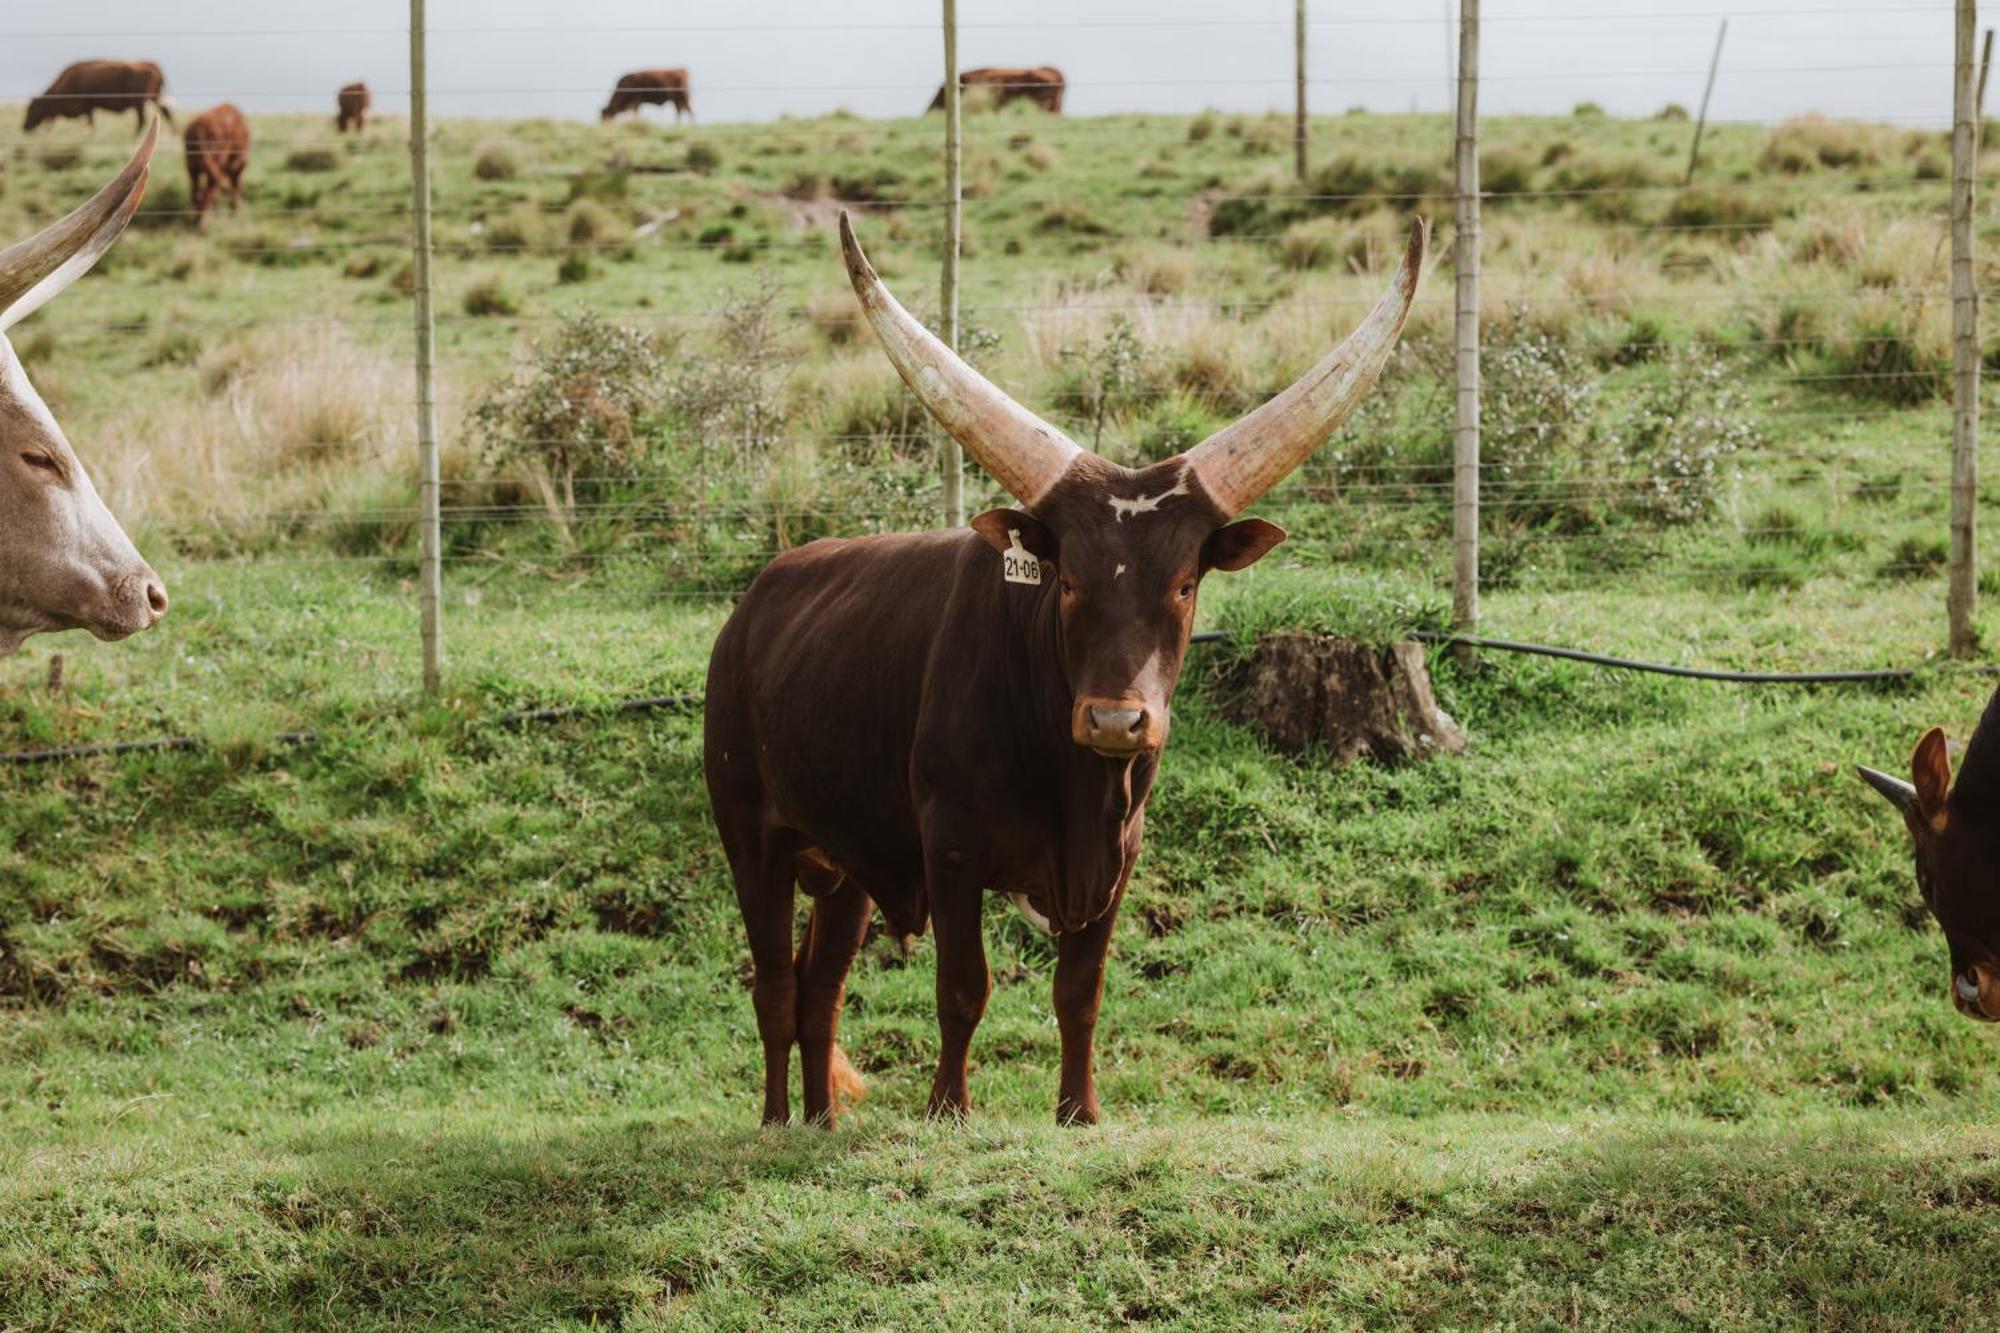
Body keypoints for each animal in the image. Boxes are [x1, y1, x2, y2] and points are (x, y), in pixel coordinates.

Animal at [24, 59, 174, 131]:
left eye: (32, 110)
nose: (24, 127)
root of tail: (156, 69)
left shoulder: (87, 105)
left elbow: (91, 124)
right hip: (154, 96)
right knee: (166, 112)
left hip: (139, 101)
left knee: (142, 120)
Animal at [704, 213, 1424, 1128]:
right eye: (1070, 580)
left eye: (1184, 583)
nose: (1117, 720)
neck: (1075, 780)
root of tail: (749, 607)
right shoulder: (949, 847)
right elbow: (962, 986)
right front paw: (949, 1109)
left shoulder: (1120, 854)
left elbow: (1080, 991)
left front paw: (1079, 1110)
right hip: (750, 834)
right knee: (774, 983)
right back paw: (773, 1121)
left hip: (846, 865)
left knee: (819, 987)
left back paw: (823, 1119)